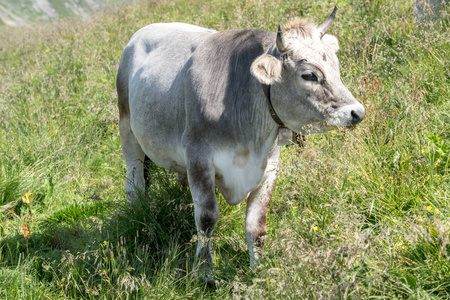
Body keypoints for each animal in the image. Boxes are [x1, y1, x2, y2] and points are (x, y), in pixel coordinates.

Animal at [117, 5, 366, 280]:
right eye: (310, 75)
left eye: (336, 67)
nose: (357, 112)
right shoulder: (198, 156)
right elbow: (206, 218)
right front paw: (204, 272)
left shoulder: (269, 166)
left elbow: (256, 226)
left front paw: (260, 270)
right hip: (127, 128)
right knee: (135, 184)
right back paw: (140, 217)